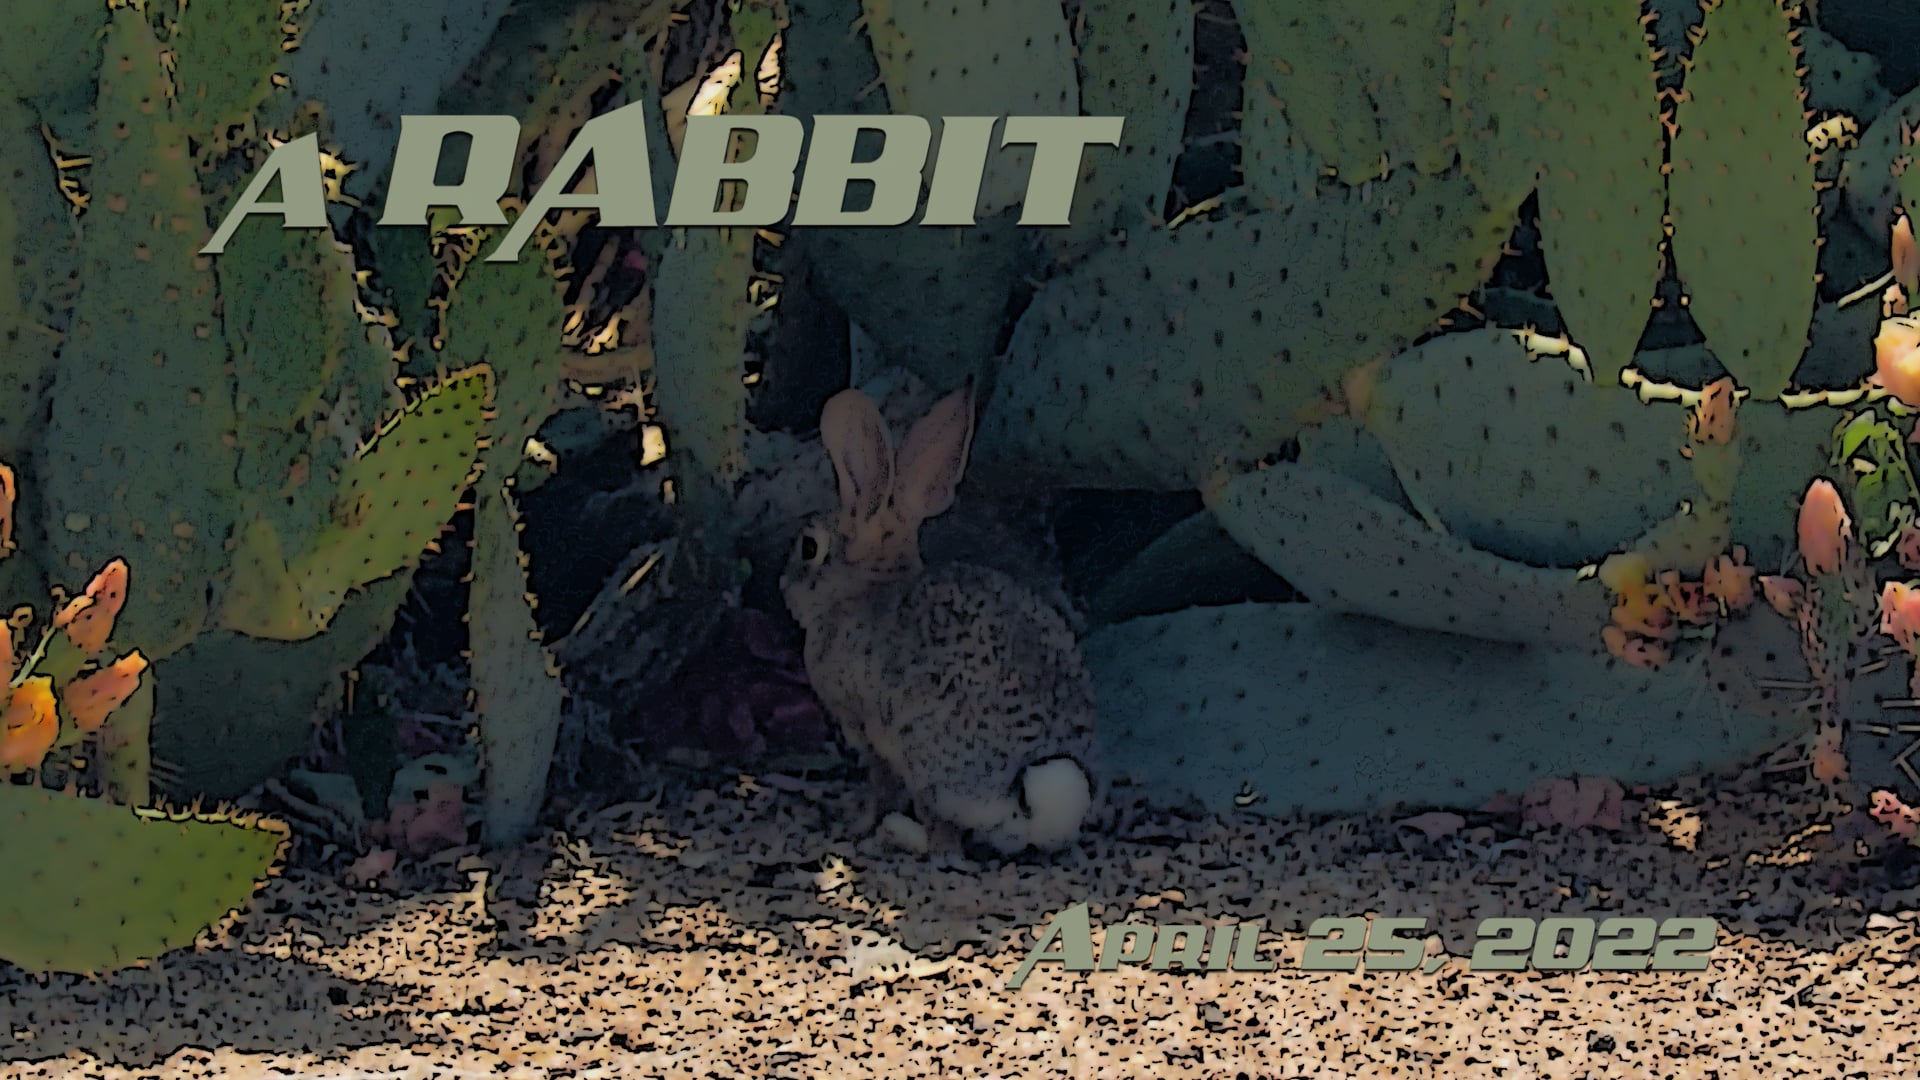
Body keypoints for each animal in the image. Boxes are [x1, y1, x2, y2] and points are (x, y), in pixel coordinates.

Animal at [780, 381, 1101, 857]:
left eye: (808, 548)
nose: (783, 585)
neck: (862, 591)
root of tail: (1031, 809)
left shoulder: (868, 734)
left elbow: (879, 786)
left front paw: (857, 824)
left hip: (922, 761)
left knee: (942, 843)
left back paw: (897, 831)